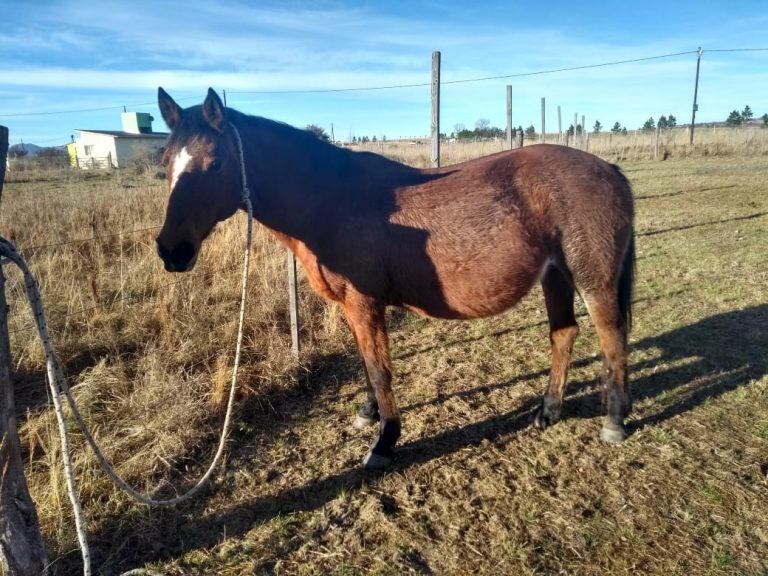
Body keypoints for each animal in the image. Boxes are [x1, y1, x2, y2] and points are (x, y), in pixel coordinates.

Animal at [156, 88, 636, 470]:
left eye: (216, 162)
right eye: (165, 164)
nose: (171, 250)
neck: (331, 199)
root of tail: (609, 169)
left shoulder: (365, 304)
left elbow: (380, 369)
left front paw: (384, 441)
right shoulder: (352, 307)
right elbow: (366, 365)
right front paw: (369, 413)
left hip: (591, 278)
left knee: (611, 336)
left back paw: (614, 420)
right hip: (555, 276)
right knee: (564, 334)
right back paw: (549, 410)